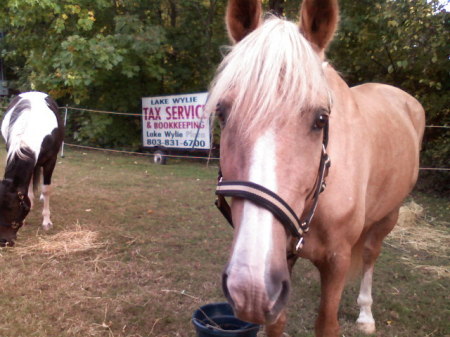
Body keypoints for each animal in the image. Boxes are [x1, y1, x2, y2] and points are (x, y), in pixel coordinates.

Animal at [207, 0, 426, 336]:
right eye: (222, 113)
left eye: (321, 119)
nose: (250, 289)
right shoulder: (281, 262)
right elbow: (277, 322)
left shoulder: (337, 262)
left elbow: (327, 323)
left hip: (390, 213)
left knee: (370, 254)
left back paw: (366, 314)